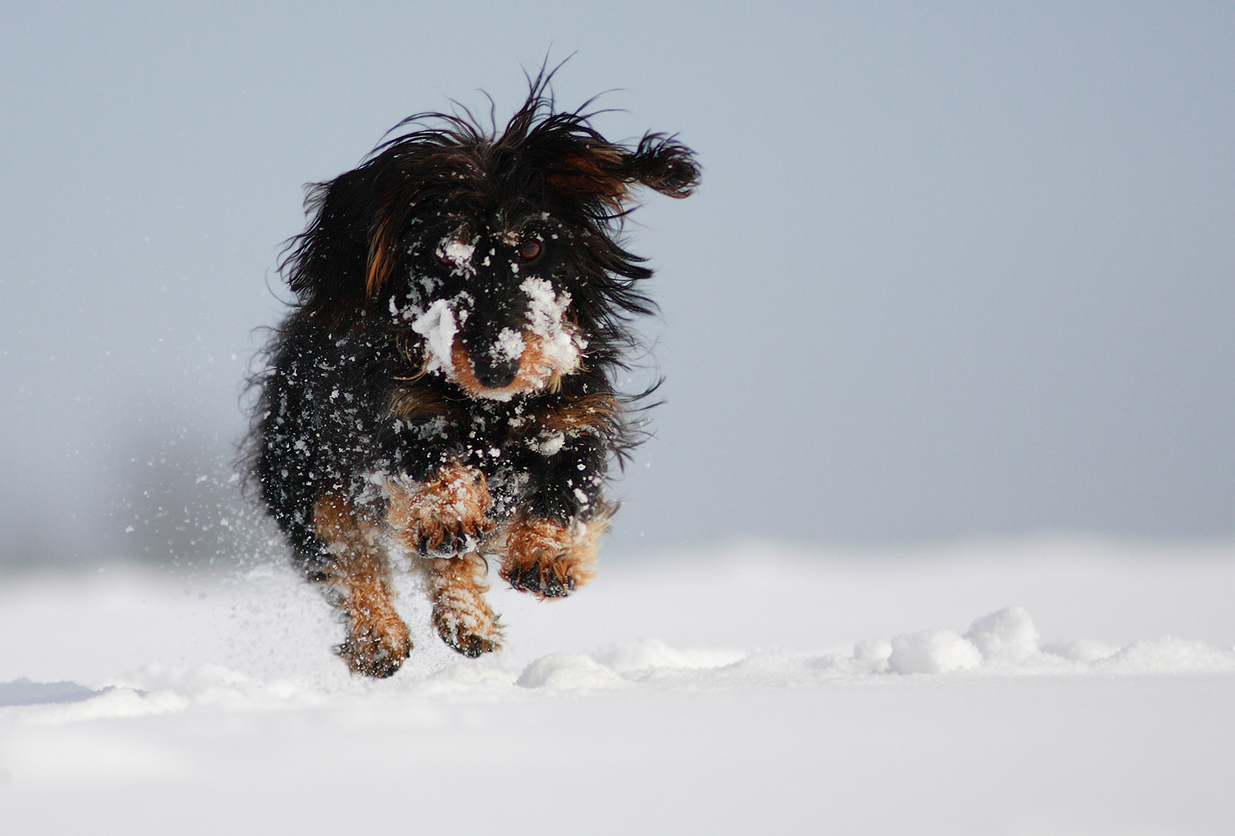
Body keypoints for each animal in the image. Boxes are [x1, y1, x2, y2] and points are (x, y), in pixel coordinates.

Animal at [247, 78, 701, 676]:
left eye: (531, 245)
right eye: (444, 257)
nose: (497, 366)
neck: (493, 409)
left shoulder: (576, 418)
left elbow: (568, 484)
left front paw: (548, 556)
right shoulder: (401, 415)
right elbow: (427, 466)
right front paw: (449, 515)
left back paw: (469, 622)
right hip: (306, 469)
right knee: (348, 556)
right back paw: (382, 634)